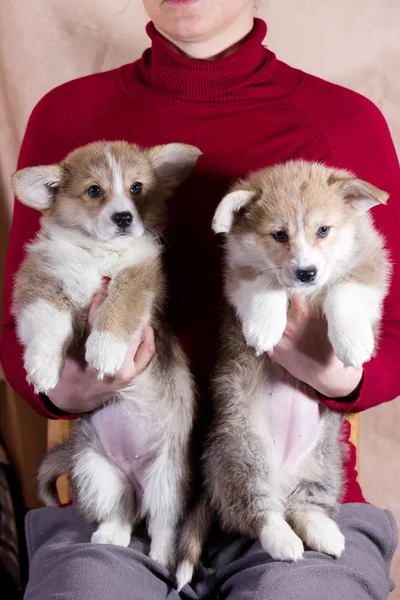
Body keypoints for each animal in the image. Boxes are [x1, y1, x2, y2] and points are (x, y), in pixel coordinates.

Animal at [11, 138, 202, 568]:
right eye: (95, 190)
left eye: (137, 188)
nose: (124, 218)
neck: (96, 251)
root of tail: (135, 476)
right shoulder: (40, 280)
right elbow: (49, 320)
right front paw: (42, 368)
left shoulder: (141, 278)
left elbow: (119, 300)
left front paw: (103, 350)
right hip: (95, 471)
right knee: (122, 512)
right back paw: (110, 536)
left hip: (167, 480)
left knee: (161, 522)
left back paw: (162, 558)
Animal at [177, 158, 390, 584]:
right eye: (279, 235)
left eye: (323, 230)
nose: (306, 273)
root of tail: (283, 479)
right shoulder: (237, 275)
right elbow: (264, 280)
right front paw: (263, 327)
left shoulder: (371, 267)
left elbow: (344, 290)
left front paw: (352, 341)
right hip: (242, 457)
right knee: (259, 515)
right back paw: (284, 542)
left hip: (325, 466)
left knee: (304, 507)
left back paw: (325, 534)